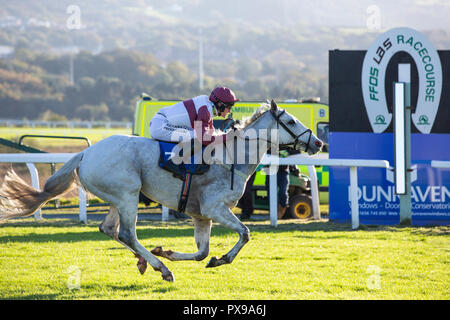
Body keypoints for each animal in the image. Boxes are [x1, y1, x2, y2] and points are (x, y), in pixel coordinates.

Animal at [0, 99, 324, 280]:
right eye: (291, 120)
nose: (319, 142)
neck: (231, 156)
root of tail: (85, 153)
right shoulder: (214, 208)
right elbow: (244, 234)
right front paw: (221, 259)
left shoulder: (201, 215)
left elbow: (202, 252)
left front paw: (168, 251)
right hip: (128, 195)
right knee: (127, 233)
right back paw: (161, 269)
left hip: (117, 198)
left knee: (109, 229)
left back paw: (148, 260)